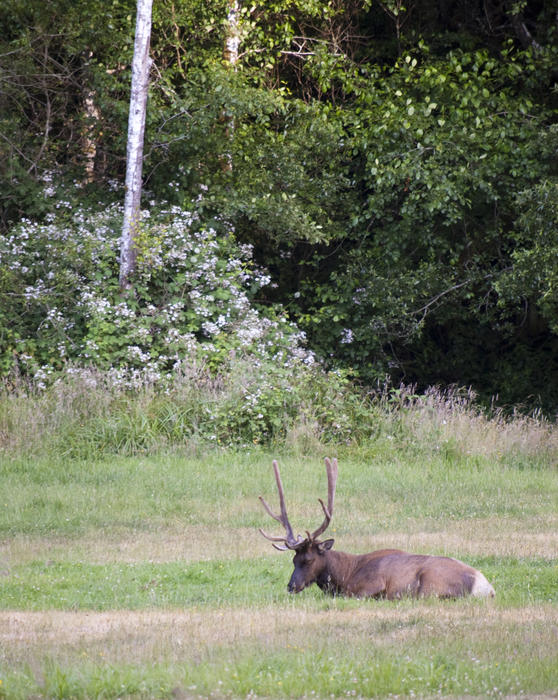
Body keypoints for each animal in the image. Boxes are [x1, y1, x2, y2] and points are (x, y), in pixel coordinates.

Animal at [260, 456, 496, 600]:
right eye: (293, 560)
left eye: (308, 560)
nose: (291, 586)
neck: (344, 575)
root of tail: (485, 588)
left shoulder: (372, 585)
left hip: (429, 585)